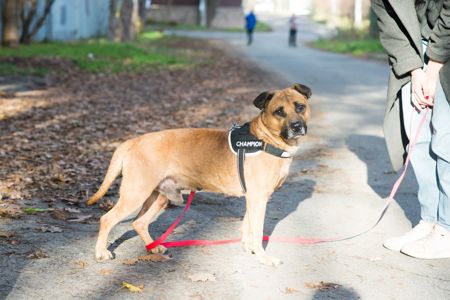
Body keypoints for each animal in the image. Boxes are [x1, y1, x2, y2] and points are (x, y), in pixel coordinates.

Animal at [88, 83, 312, 266]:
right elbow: (256, 232)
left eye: (300, 106)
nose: (296, 126)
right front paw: (264, 257)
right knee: (107, 219)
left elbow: (247, 227)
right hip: (135, 194)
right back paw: (101, 252)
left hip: (159, 197)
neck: (265, 140)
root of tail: (133, 141)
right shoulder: (258, 198)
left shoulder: (253, 199)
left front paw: (249, 248)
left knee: (139, 222)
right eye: (279, 112)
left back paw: (154, 247)